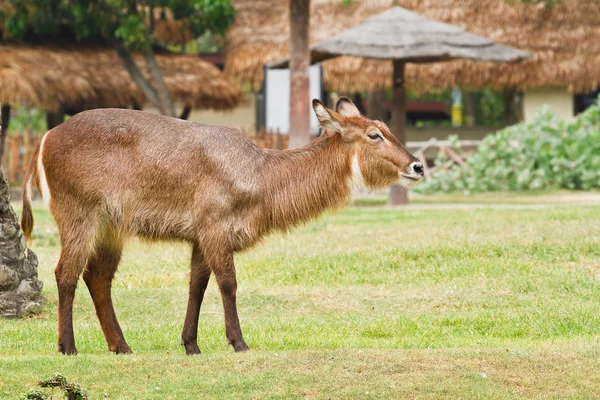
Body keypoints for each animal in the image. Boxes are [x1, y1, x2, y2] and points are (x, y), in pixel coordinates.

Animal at [21, 98, 424, 354]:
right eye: (374, 134)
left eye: (386, 127)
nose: (418, 166)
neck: (262, 175)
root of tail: (44, 139)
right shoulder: (215, 228)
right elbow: (228, 285)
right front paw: (239, 343)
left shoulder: (201, 237)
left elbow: (196, 287)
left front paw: (191, 345)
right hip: (79, 215)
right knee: (65, 274)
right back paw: (68, 347)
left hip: (110, 226)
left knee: (98, 278)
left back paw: (122, 347)